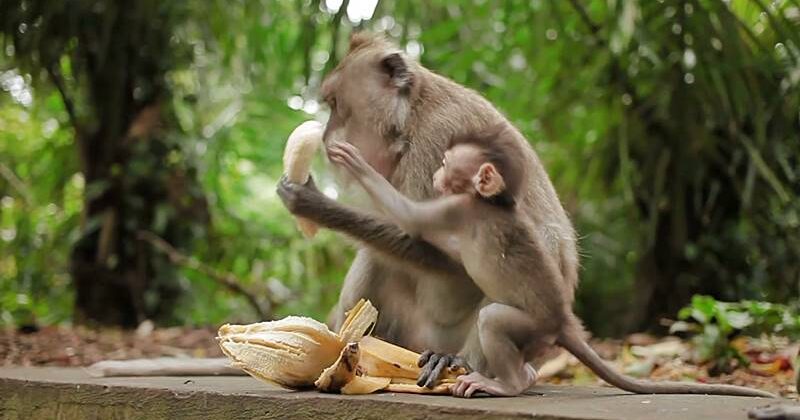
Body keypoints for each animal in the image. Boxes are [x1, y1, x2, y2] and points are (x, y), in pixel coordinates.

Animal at [323, 124, 777, 398]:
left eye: (449, 164)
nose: (437, 174)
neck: (489, 202)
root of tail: (563, 323)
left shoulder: (458, 208)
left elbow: (413, 222)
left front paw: (351, 169)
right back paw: (521, 378)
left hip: (533, 328)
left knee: (493, 321)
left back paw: (506, 384)